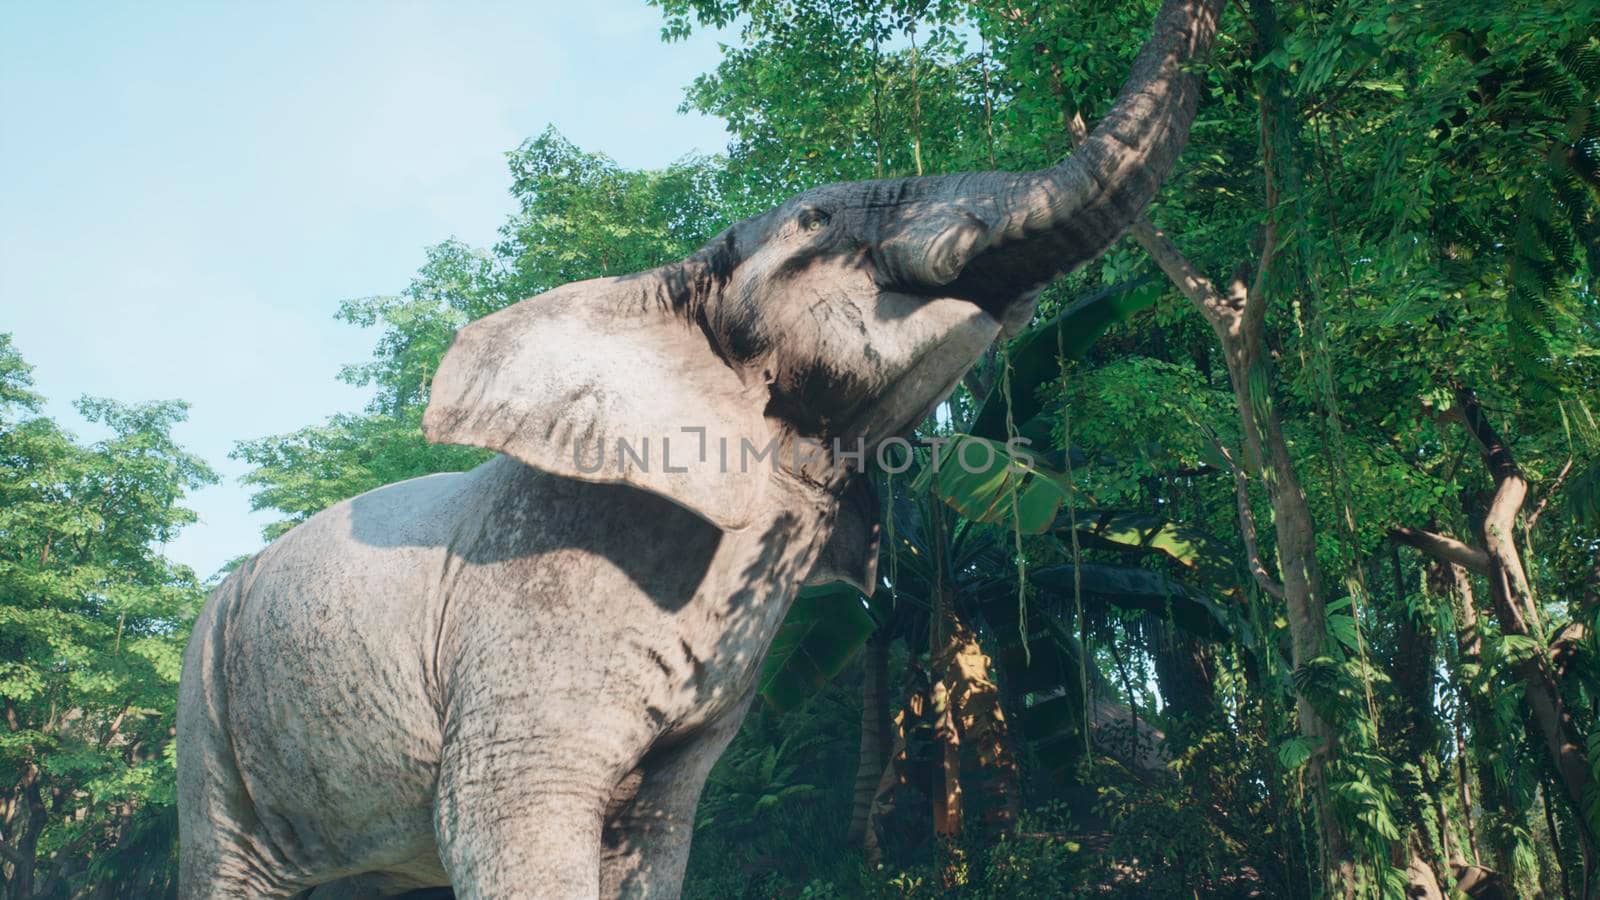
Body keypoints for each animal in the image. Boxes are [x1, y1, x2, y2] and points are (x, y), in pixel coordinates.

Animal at [175, 0, 1222, 890]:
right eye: (816, 220)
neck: (667, 281)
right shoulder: (529, 609)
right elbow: (503, 812)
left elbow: (660, 831)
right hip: (209, 722)